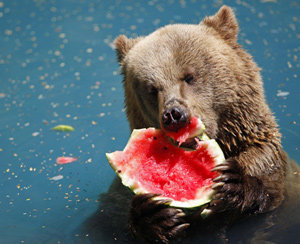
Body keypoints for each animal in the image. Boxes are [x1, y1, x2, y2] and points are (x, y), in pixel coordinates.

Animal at [81, 5, 300, 244]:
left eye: (189, 76)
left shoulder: (271, 166)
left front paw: (233, 184)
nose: (174, 115)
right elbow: (110, 223)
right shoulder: (118, 194)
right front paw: (155, 216)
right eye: (151, 88)